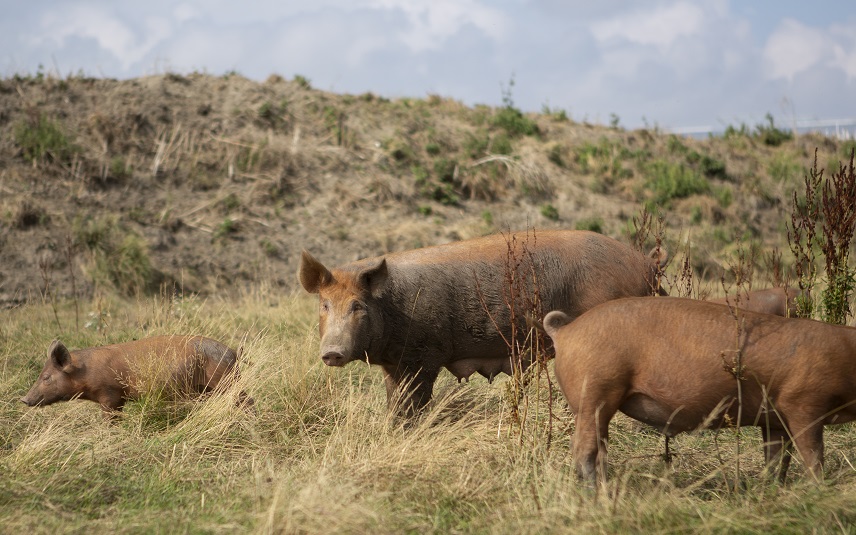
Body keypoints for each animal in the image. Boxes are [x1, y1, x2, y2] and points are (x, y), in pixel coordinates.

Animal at [300, 228, 668, 416]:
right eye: (324, 305)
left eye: (358, 306)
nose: (332, 352)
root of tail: (646, 264)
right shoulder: (395, 364)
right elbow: (394, 403)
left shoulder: (426, 356)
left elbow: (415, 402)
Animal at [544, 298, 856, 486]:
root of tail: (566, 331)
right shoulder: (803, 404)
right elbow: (813, 453)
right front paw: (817, 487)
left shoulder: (774, 419)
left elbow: (777, 458)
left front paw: (770, 488)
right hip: (595, 391)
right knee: (584, 448)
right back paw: (597, 492)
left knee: (596, 447)